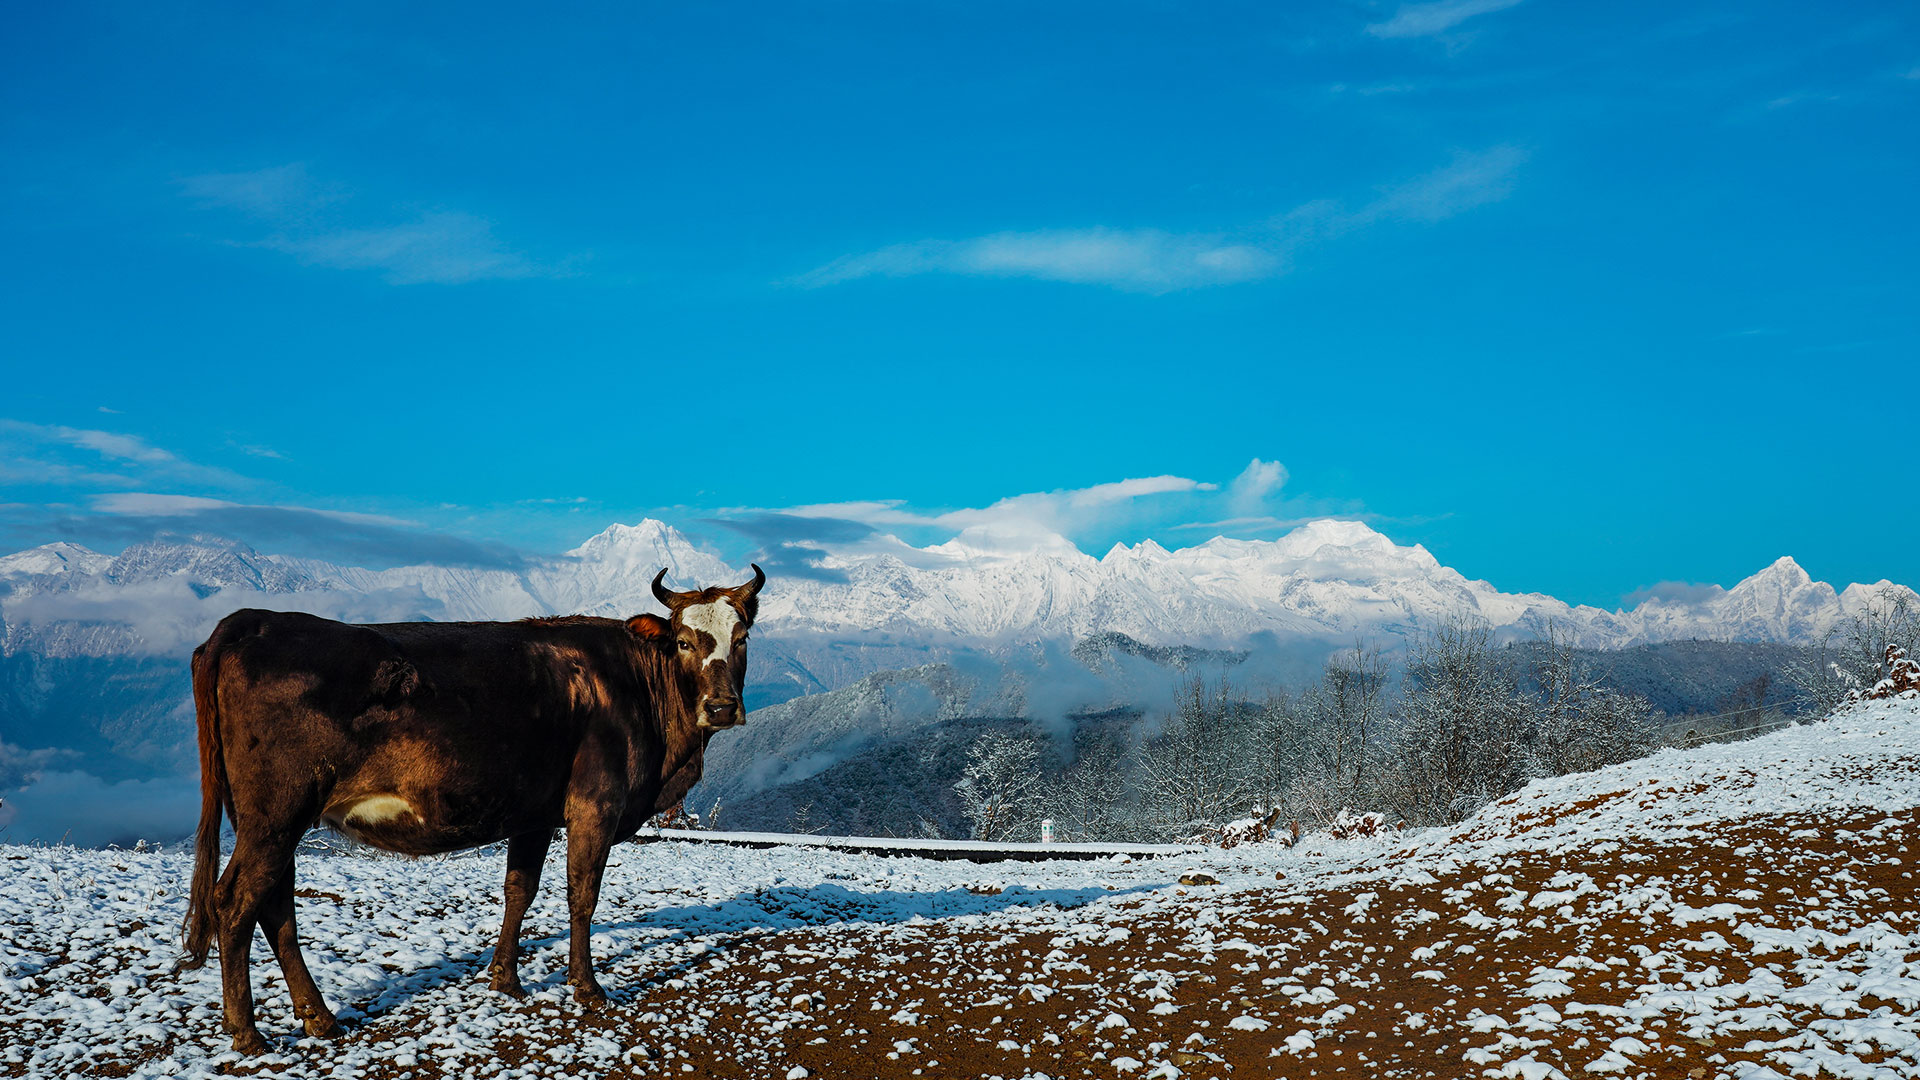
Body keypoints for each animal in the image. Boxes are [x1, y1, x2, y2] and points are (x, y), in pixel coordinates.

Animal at [180, 564, 760, 1053]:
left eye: (742, 638)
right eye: (684, 641)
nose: (720, 707)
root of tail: (253, 621)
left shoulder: (534, 814)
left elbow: (519, 891)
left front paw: (506, 980)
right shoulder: (596, 804)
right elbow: (583, 896)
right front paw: (587, 988)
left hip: (272, 821)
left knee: (275, 906)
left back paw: (318, 1017)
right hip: (275, 815)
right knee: (234, 902)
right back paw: (247, 1031)